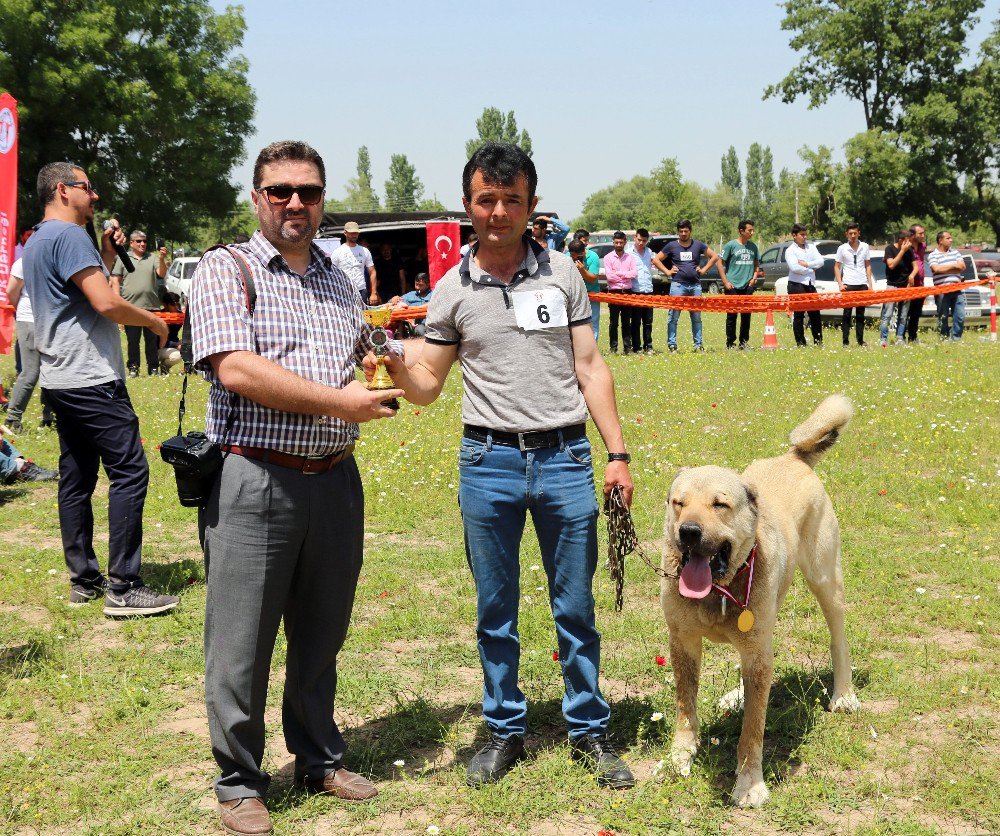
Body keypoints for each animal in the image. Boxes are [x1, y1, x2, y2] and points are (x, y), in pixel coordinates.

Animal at [664, 396, 860, 808]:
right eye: (678, 503)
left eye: (720, 504)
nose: (688, 532)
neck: (718, 591)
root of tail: (794, 457)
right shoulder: (684, 642)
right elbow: (686, 708)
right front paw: (677, 760)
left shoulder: (755, 649)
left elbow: (752, 730)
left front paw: (750, 783)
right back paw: (736, 696)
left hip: (824, 579)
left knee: (838, 637)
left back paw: (844, 694)